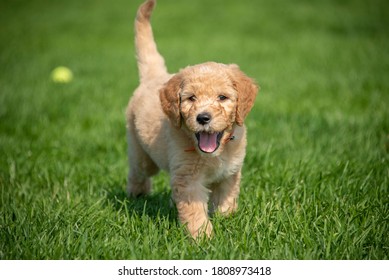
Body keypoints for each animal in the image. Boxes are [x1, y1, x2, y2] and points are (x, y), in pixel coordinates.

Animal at [126, 0, 258, 238]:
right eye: (191, 98)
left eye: (222, 97)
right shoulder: (189, 179)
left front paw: (226, 219)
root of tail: (154, 77)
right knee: (137, 172)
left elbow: (226, 200)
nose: (203, 117)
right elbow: (195, 211)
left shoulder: (230, 173)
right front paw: (203, 237)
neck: (215, 154)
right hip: (142, 155)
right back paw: (137, 195)